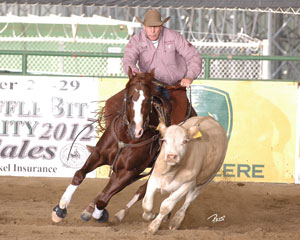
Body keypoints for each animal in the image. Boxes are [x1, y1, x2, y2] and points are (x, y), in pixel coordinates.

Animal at [51, 67, 169, 223]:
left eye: (149, 99)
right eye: (129, 97)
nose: (137, 130)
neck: (126, 138)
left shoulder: (128, 172)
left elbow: (103, 199)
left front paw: (99, 214)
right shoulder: (98, 155)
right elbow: (79, 175)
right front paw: (61, 208)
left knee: (142, 190)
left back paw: (136, 213)